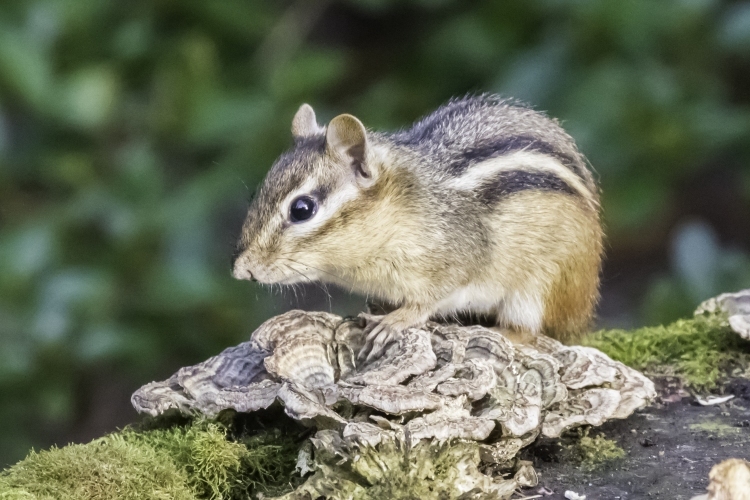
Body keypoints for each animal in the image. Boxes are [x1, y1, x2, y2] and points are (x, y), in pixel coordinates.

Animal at [232, 94, 603, 361]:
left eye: (302, 209)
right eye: (256, 194)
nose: (240, 270)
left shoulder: (457, 257)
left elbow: (433, 297)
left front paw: (396, 320)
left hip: (539, 288)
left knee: (529, 331)